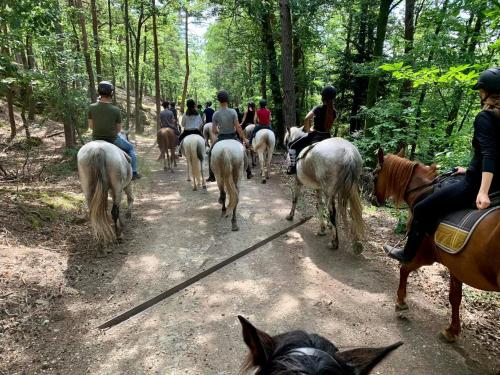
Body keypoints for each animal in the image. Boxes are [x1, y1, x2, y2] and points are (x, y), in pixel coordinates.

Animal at [372, 150, 500, 344]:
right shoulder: (457, 266)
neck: (424, 190)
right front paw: (452, 331)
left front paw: (401, 301)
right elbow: (455, 297)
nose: (372, 199)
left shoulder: (425, 253)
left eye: (374, 175)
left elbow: (404, 267)